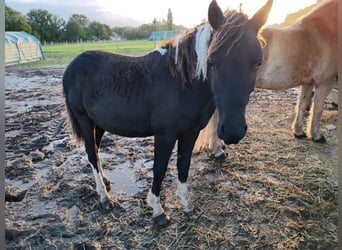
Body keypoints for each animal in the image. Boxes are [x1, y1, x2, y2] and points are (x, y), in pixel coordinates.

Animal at [63, 0, 272, 227]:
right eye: (212, 62)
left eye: (258, 63)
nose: (233, 131)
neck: (181, 83)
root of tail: (74, 65)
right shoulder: (165, 135)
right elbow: (160, 169)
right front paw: (158, 211)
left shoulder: (190, 133)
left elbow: (183, 166)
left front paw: (186, 205)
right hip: (84, 119)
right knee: (91, 153)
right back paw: (104, 197)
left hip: (99, 123)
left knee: (97, 149)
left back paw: (105, 181)